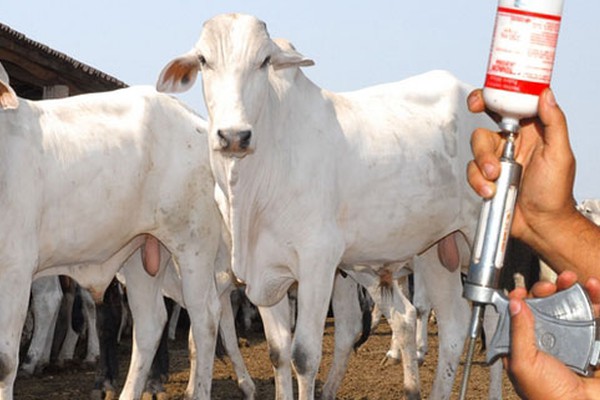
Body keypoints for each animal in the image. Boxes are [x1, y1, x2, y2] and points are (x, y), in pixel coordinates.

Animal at [0, 76, 221, 398]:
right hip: (143, 255)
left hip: (194, 246)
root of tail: (192, 118)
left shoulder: (15, 269)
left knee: (205, 316)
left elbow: (5, 363)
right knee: (150, 324)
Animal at [158, 13, 496, 400]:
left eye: (263, 61)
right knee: (453, 326)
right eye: (203, 60)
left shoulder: (317, 263)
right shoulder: (264, 274)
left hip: (481, 239)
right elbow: (278, 352)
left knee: (494, 318)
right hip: (436, 250)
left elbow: (303, 356)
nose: (234, 136)